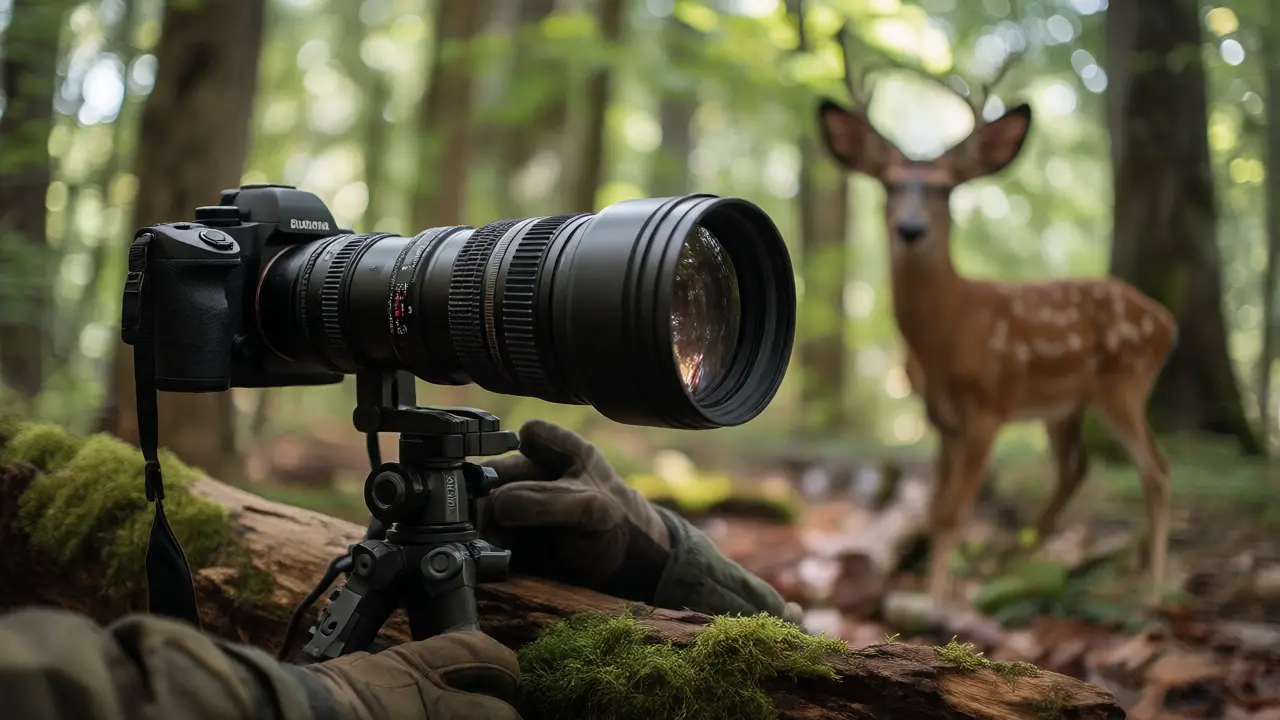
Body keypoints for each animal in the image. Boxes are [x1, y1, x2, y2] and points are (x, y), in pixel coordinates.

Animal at [815, 31, 1178, 608]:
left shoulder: (989, 404)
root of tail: (1167, 323)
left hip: (1123, 383)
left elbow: (955, 511)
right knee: (1075, 468)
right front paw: (932, 587)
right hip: (1065, 405)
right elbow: (935, 508)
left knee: (1157, 471)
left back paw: (1152, 590)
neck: (946, 334)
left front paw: (937, 597)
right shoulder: (940, 417)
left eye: (945, 188)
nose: (911, 230)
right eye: (889, 185)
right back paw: (1018, 566)